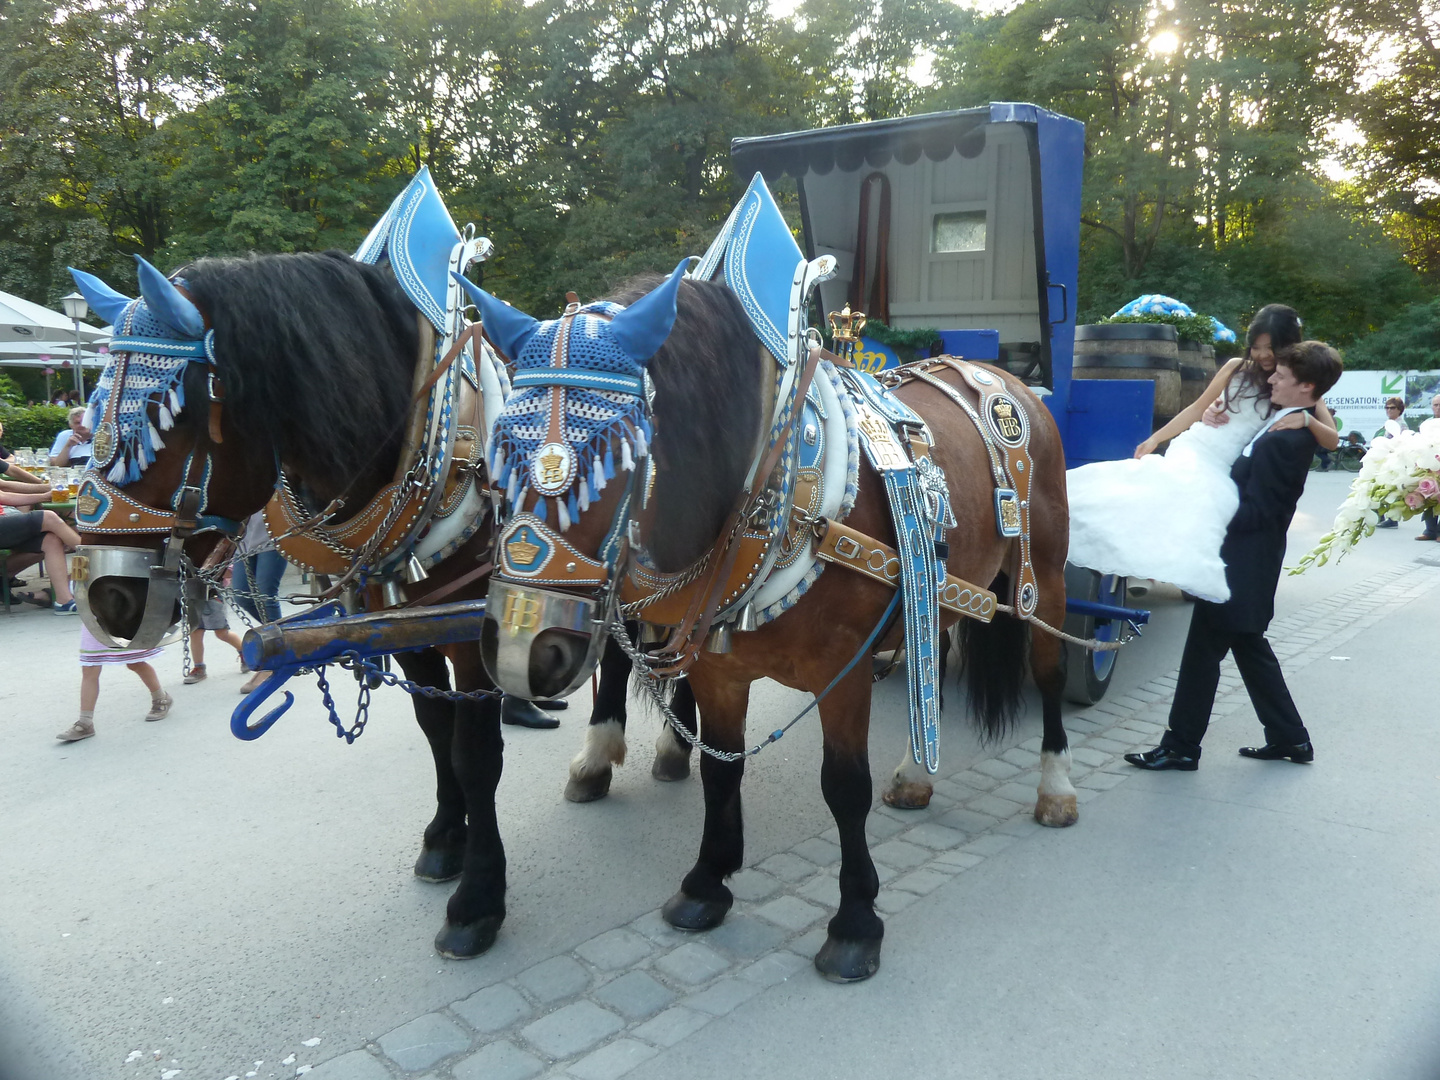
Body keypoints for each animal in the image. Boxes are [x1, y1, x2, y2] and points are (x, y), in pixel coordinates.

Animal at [478, 275, 1077, 984]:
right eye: (497, 457)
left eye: (613, 461)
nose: (522, 647)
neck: (767, 483)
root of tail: (1002, 378)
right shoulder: (719, 672)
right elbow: (721, 773)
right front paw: (706, 883)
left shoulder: (844, 669)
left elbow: (844, 788)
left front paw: (855, 924)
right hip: (937, 590)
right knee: (928, 662)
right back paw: (915, 775)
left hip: (1046, 582)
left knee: (1049, 676)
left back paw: (1056, 787)